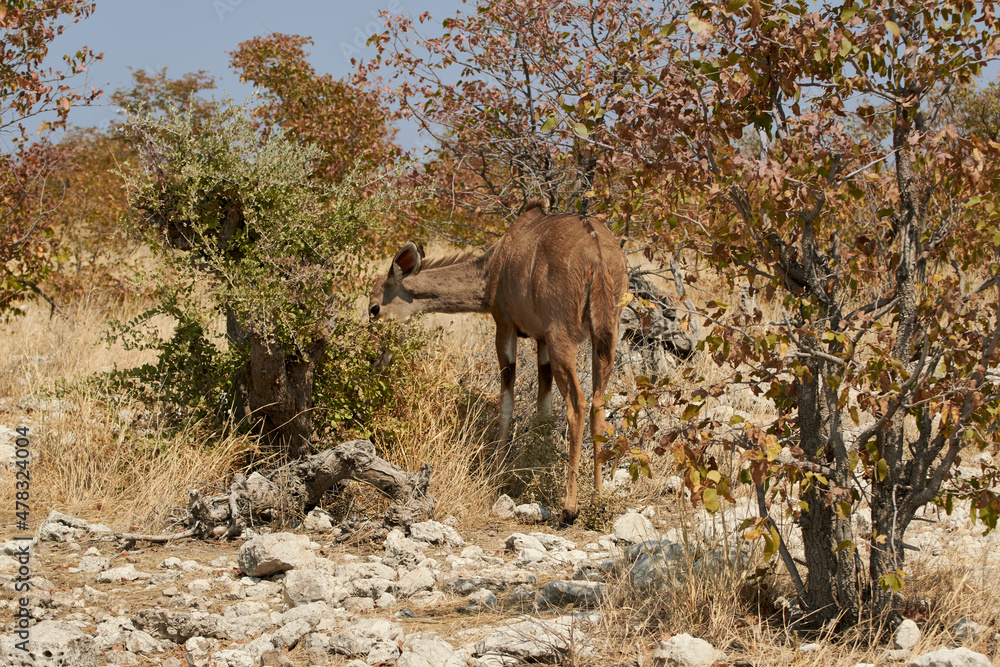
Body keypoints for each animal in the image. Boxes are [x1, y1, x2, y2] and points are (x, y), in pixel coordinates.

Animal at [368, 200, 628, 525]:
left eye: (374, 308)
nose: (374, 358)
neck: (492, 265)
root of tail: (598, 254)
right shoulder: (541, 340)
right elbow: (543, 407)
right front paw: (534, 466)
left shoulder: (505, 326)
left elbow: (507, 396)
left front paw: (498, 472)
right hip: (604, 337)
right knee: (597, 403)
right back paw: (597, 497)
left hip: (563, 337)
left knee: (577, 403)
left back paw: (569, 508)